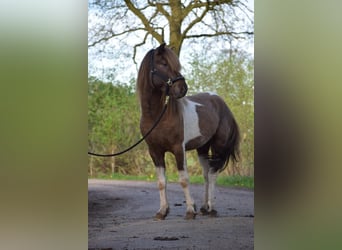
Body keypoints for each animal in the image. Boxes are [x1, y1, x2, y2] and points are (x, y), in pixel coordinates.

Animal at [137, 44, 240, 220]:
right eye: (163, 63)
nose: (182, 88)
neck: (157, 116)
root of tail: (222, 103)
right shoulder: (155, 151)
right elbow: (161, 182)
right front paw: (162, 211)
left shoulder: (179, 148)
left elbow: (184, 179)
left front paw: (190, 210)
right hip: (203, 147)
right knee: (206, 175)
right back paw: (205, 207)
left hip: (218, 146)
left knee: (212, 175)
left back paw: (212, 209)